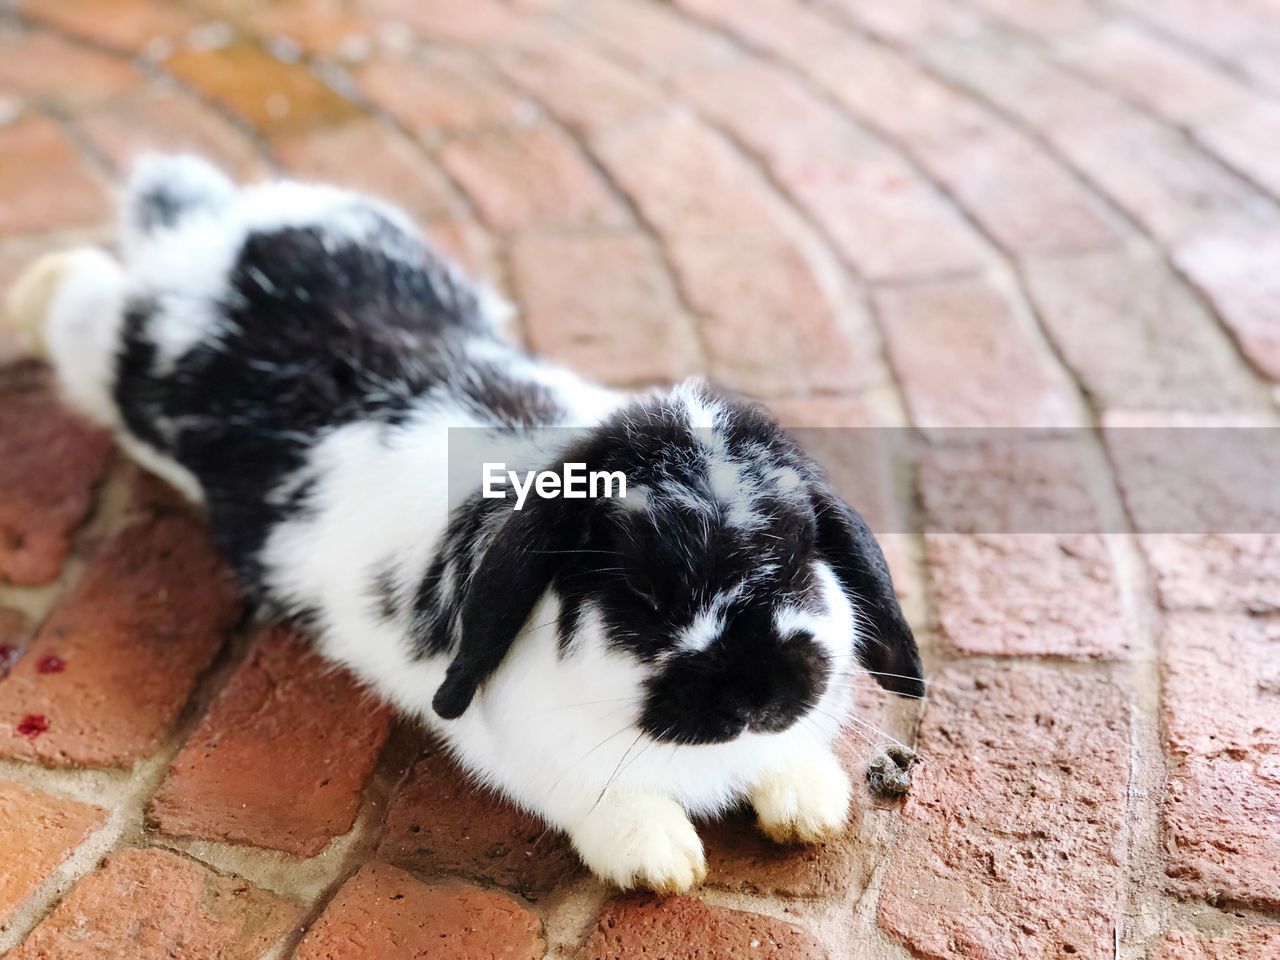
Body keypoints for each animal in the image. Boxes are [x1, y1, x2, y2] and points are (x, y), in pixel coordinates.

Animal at [0, 156, 921, 896]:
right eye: (642, 589)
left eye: (801, 554)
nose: (757, 689)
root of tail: (222, 229)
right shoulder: (537, 753)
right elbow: (609, 800)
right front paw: (660, 859)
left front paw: (810, 802)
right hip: (109, 363)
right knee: (70, 291)